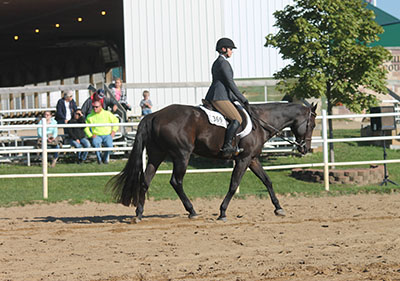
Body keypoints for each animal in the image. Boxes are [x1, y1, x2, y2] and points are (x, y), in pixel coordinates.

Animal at [108, 101, 316, 222]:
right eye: (312, 124)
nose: (305, 149)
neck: (260, 122)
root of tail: (154, 115)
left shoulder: (252, 159)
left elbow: (267, 181)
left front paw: (279, 208)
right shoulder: (243, 159)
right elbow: (233, 185)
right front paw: (222, 212)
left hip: (157, 154)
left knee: (145, 180)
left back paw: (139, 213)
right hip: (182, 155)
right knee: (176, 181)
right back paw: (192, 211)